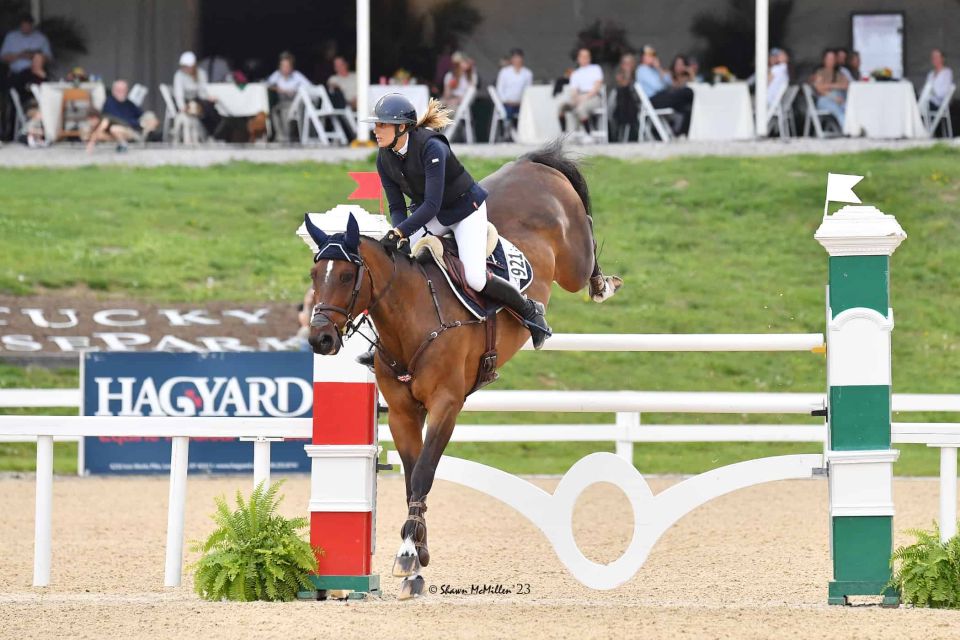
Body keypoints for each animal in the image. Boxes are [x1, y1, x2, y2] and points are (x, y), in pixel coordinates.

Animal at [306, 141, 624, 600]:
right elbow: (411, 476)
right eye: (315, 274)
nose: (321, 340)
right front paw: (419, 558)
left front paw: (408, 554)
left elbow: (424, 472)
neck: (411, 317)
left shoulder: (446, 404)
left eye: (348, 276)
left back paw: (596, 288)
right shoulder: (402, 413)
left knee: (587, 249)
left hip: (571, 261)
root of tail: (532, 163)